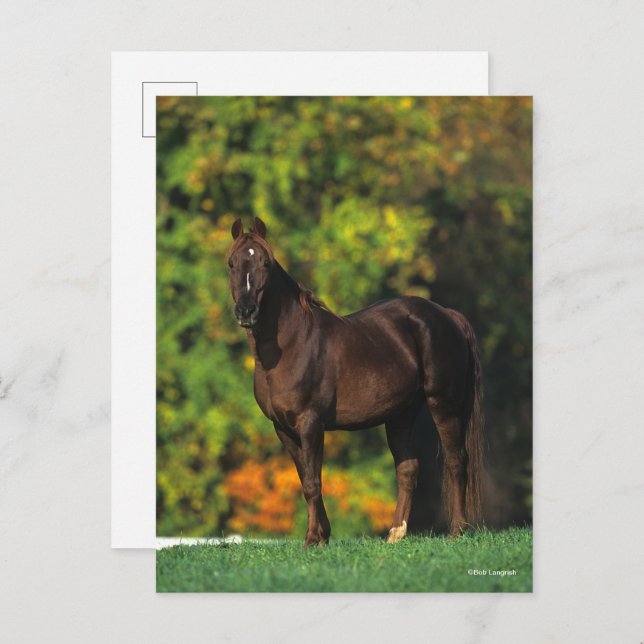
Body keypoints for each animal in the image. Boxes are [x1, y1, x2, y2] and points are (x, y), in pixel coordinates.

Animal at [226, 217, 484, 546]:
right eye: (232, 263)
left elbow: (313, 481)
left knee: (456, 461)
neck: (291, 345)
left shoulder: (310, 424)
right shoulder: (282, 428)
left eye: (266, 263)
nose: (246, 312)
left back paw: (457, 532)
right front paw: (322, 536)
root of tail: (447, 315)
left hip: (444, 404)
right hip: (401, 414)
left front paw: (313, 539)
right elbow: (305, 479)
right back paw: (395, 534)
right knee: (408, 468)